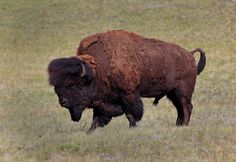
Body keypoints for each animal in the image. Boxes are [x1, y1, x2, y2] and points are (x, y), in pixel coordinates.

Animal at [47, 29, 205, 132]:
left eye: (73, 85)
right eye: (57, 88)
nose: (63, 102)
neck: (98, 68)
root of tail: (189, 55)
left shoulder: (129, 94)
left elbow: (131, 113)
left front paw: (132, 127)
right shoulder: (102, 101)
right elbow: (97, 117)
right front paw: (90, 130)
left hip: (182, 92)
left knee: (186, 107)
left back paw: (184, 125)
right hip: (172, 93)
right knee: (180, 108)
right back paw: (178, 125)